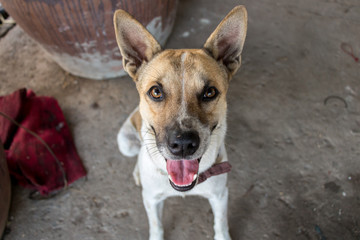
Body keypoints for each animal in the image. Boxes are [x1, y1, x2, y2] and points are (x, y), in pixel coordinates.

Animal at [114, 6, 248, 240]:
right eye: (156, 92)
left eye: (210, 92)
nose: (183, 145)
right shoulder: (151, 200)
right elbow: (156, 226)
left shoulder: (220, 195)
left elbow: (221, 224)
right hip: (126, 144)